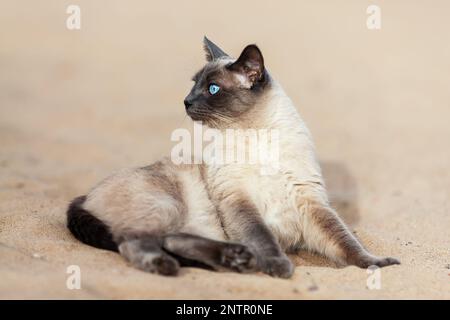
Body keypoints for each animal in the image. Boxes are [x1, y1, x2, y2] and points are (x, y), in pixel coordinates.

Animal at [66, 37, 398, 278]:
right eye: (194, 85)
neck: (256, 136)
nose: (186, 101)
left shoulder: (311, 204)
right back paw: (169, 266)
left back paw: (234, 259)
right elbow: (263, 236)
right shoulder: (238, 201)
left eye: (212, 89)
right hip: (166, 205)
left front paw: (376, 263)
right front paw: (279, 267)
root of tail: (85, 194)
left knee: (173, 240)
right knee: (136, 242)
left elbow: (348, 244)